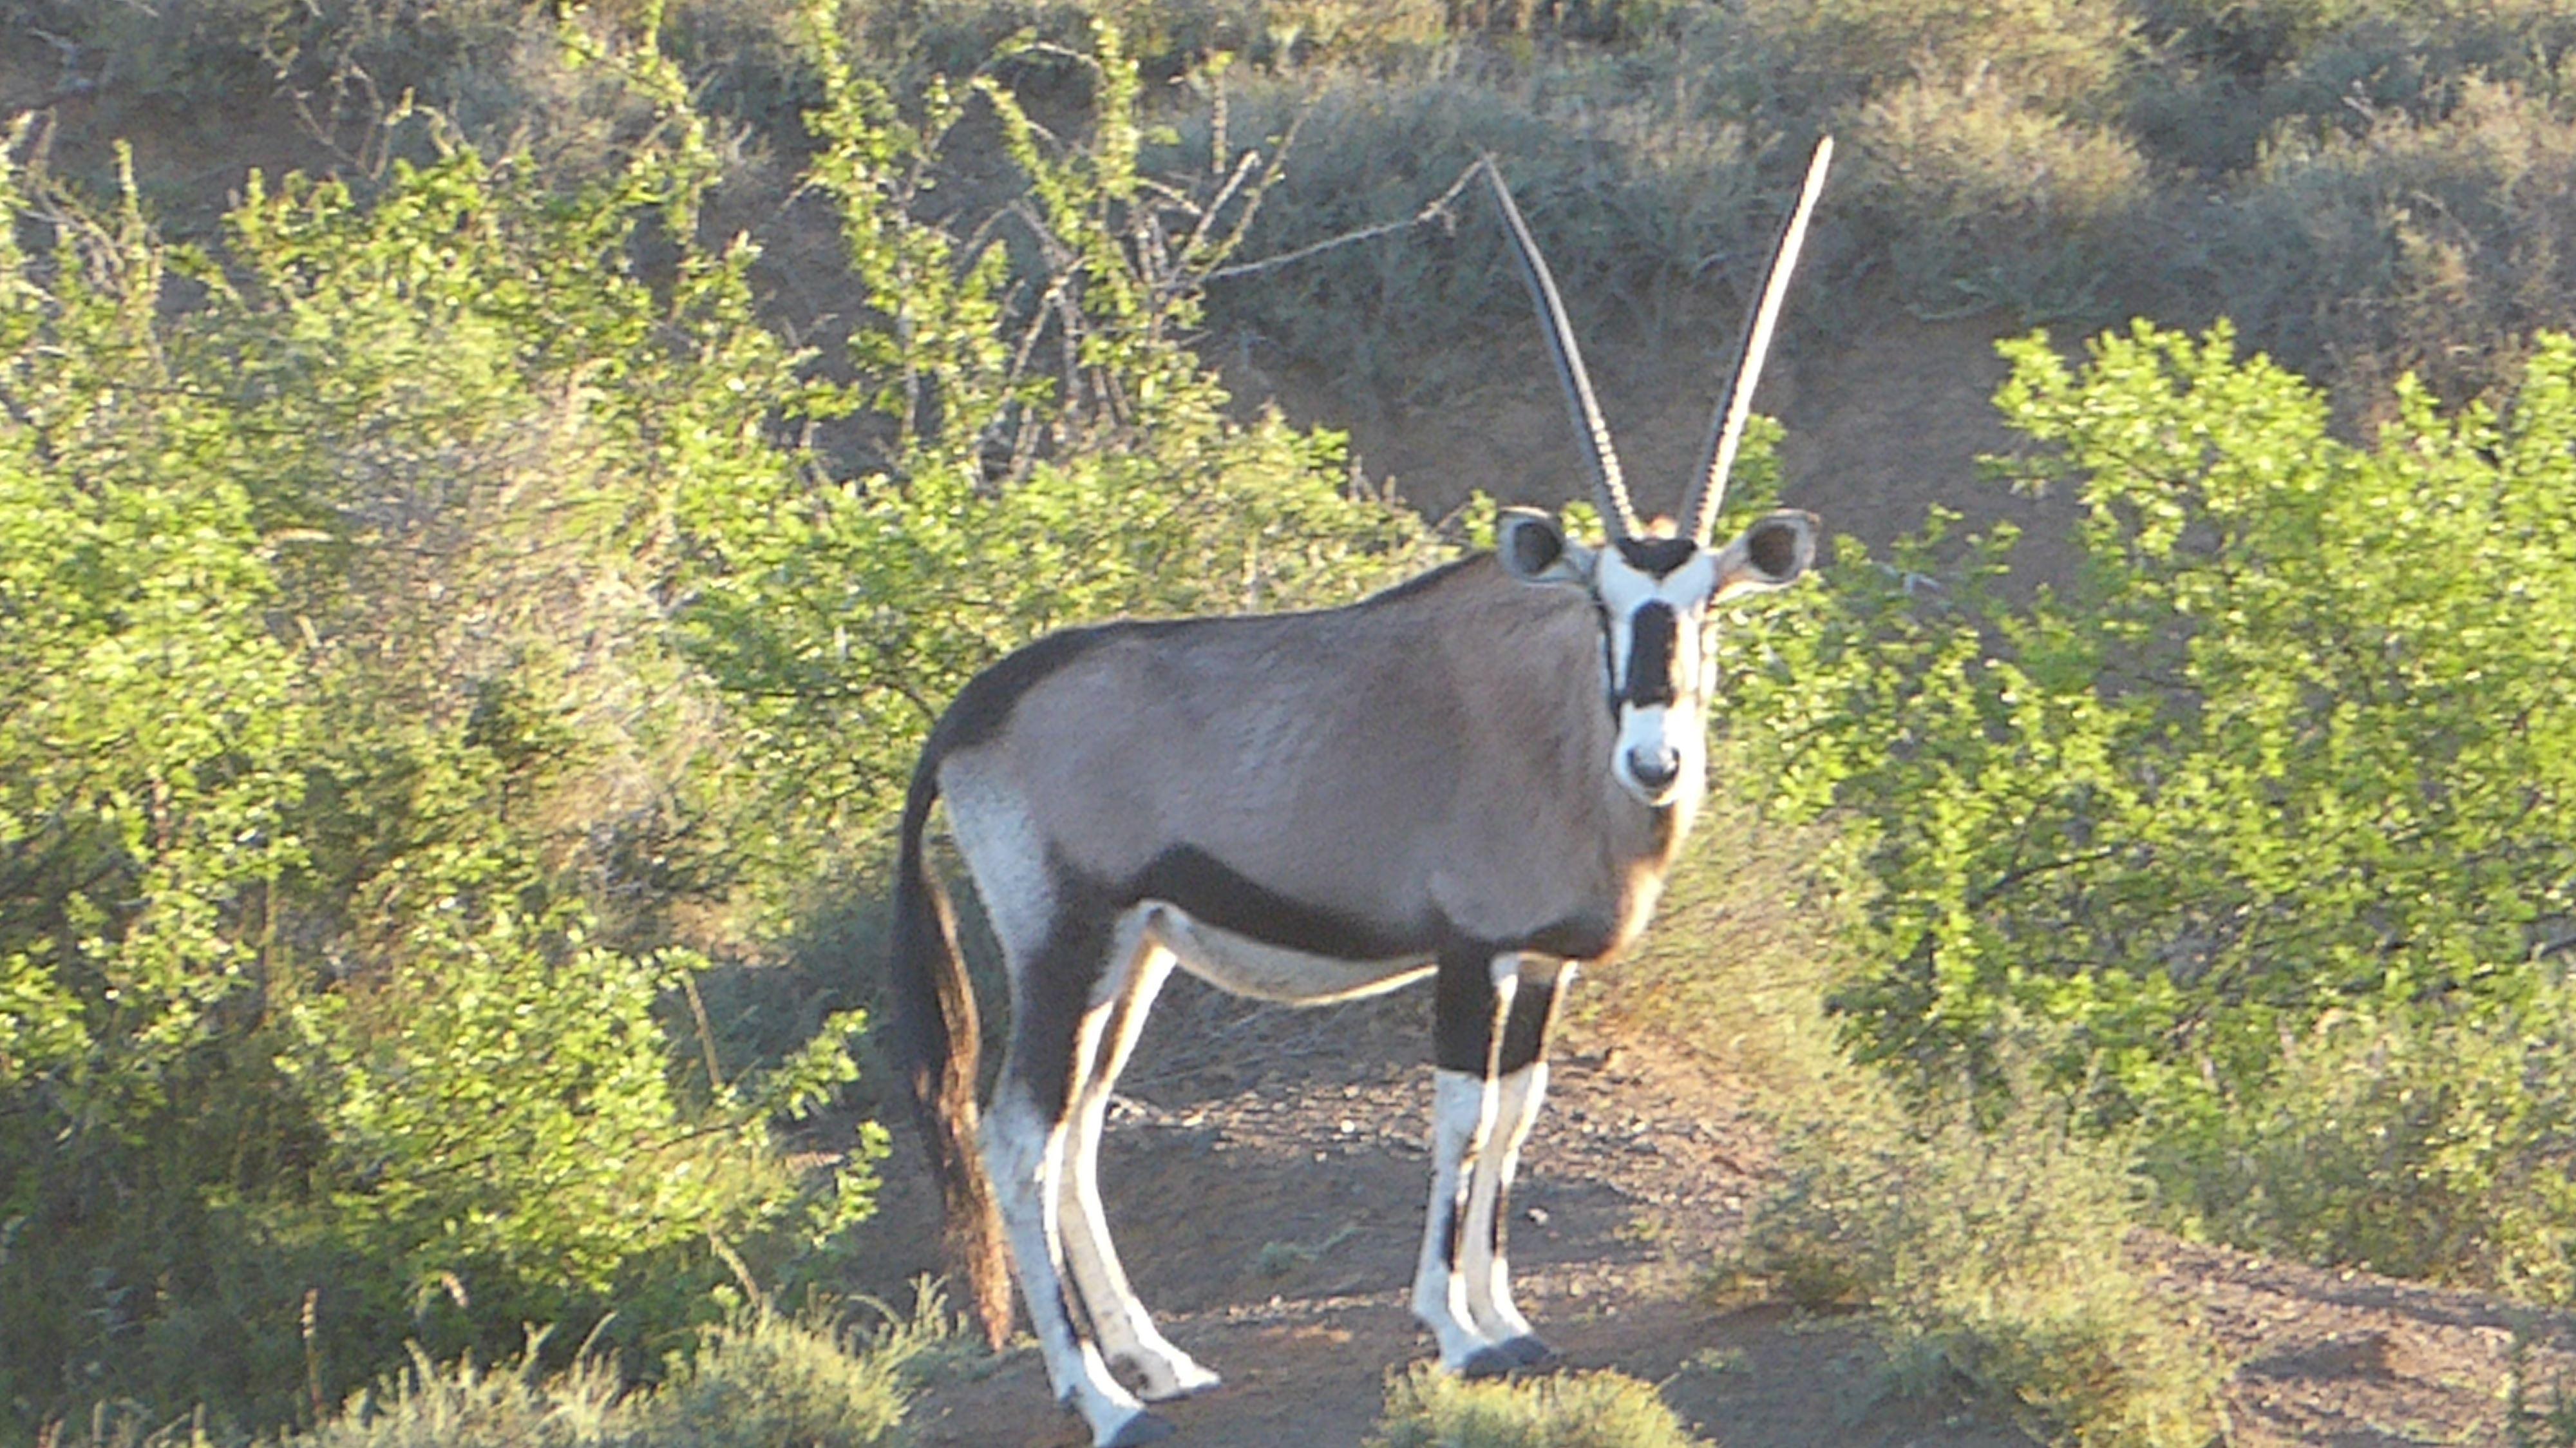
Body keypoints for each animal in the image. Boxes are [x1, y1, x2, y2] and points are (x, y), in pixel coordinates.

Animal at [887, 139, 1833, 1447]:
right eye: (1603, 605)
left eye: (1707, 609)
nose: (1656, 761)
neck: (1552, 723)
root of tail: (970, 713)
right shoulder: (1468, 951)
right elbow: (1459, 1116)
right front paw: (1458, 1332)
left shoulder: (1538, 966)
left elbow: (1521, 1111)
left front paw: (1511, 1316)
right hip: (1062, 940)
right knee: (1019, 1135)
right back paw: (1105, 1399)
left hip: (1132, 955)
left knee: (1076, 1131)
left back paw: (1157, 1360)